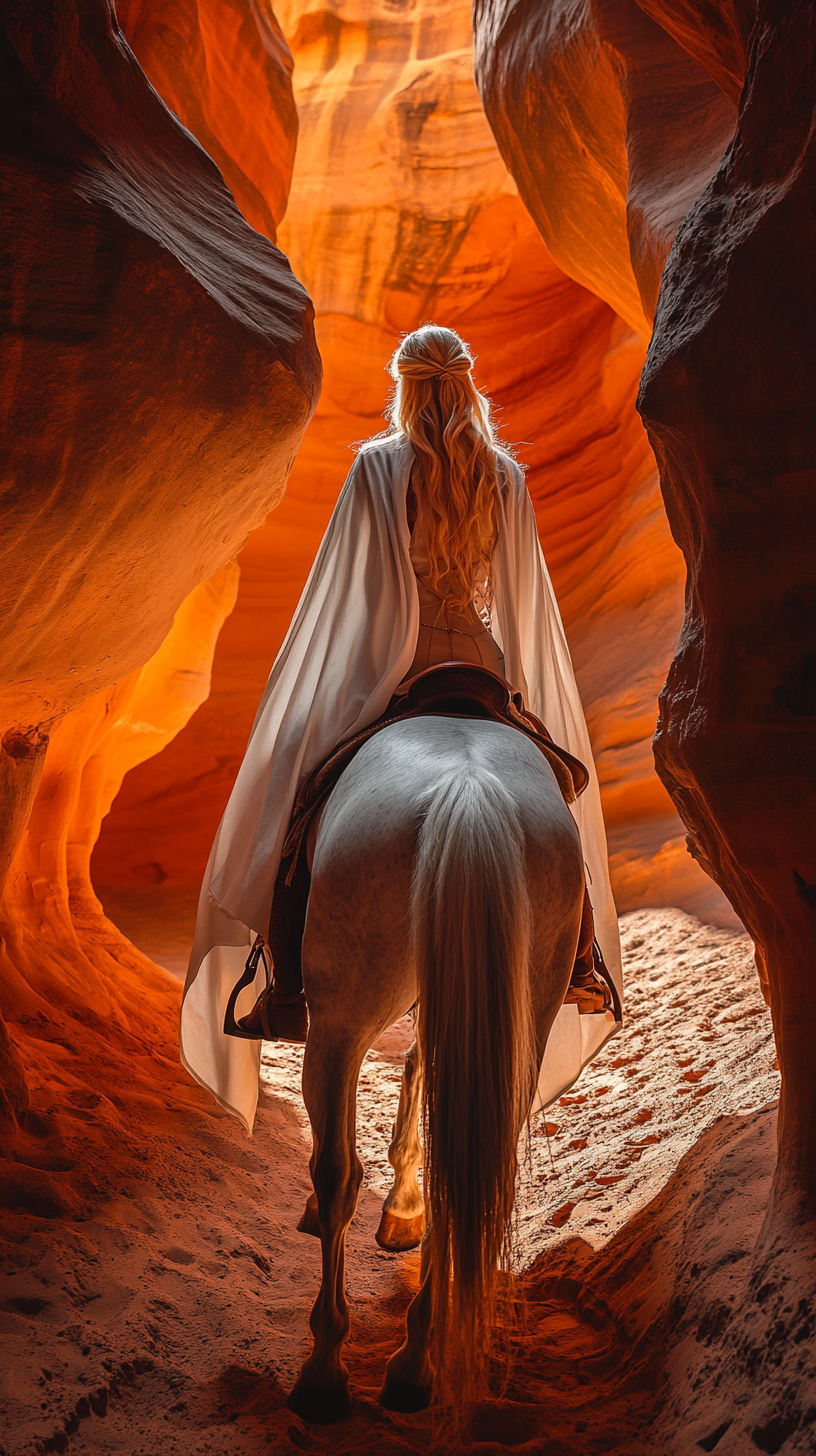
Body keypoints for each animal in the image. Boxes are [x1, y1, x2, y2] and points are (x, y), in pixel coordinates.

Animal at [284, 716, 582, 1421]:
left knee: (336, 1172)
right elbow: (422, 1066)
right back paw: (415, 1364)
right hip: (522, 1012)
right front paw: (405, 1208)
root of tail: (466, 788)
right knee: (467, 1171)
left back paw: (324, 1373)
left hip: (339, 1018)